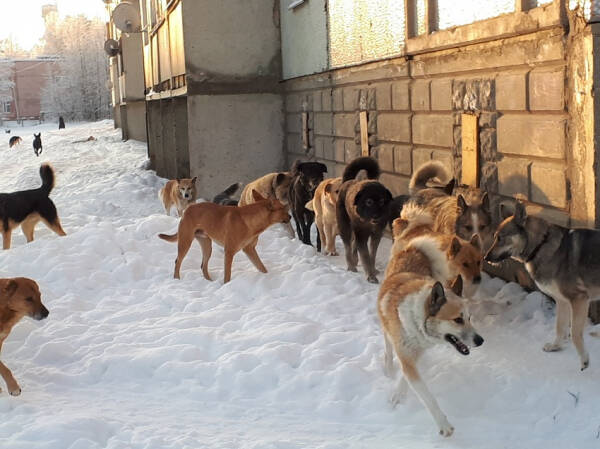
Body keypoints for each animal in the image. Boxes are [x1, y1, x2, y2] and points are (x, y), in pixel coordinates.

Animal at [157, 190, 290, 282]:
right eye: (283, 208)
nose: (290, 217)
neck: (249, 221)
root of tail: (187, 210)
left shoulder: (249, 249)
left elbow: (261, 267)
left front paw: (268, 277)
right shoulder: (229, 252)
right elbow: (227, 275)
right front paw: (226, 286)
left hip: (207, 245)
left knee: (203, 266)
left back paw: (210, 282)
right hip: (185, 242)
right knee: (177, 261)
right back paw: (177, 279)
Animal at [378, 274, 486, 436]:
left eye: (469, 318)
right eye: (458, 320)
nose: (480, 341)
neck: (418, 322)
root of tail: (398, 273)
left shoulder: (416, 353)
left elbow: (405, 376)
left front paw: (399, 393)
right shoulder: (406, 354)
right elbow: (427, 397)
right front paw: (443, 424)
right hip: (386, 330)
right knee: (388, 350)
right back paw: (389, 370)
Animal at [486, 201, 600, 370]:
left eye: (501, 238)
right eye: (495, 237)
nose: (485, 258)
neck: (539, 245)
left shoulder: (579, 299)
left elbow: (574, 334)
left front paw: (584, 360)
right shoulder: (562, 301)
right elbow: (560, 327)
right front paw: (556, 346)